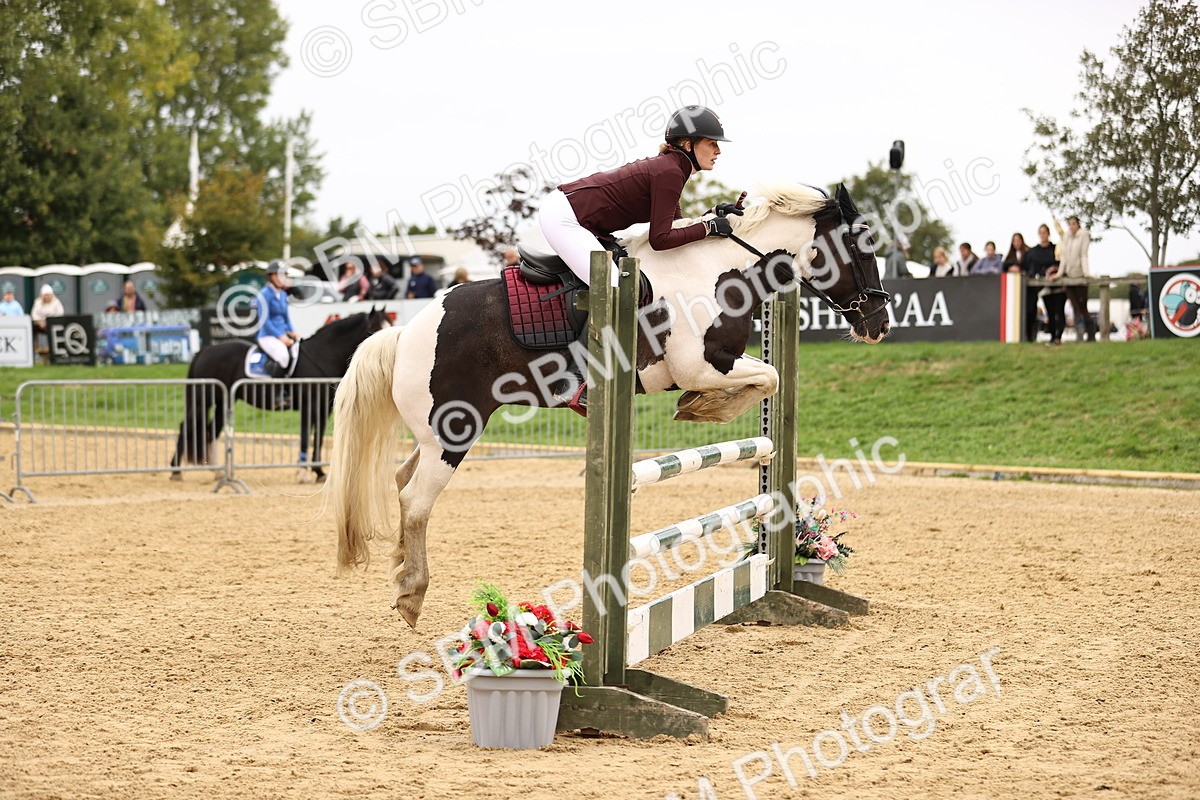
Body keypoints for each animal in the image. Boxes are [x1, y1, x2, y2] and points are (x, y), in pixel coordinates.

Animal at [170, 307, 391, 483]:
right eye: (374, 329)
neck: (321, 356)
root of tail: (204, 351)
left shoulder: (323, 408)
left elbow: (318, 437)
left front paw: (318, 472)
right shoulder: (309, 406)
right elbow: (306, 436)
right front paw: (304, 472)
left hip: (223, 401)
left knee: (211, 430)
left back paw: (217, 472)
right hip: (203, 398)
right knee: (186, 426)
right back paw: (175, 470)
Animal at [328, 183, 890, 627]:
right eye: (863, 249)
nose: (880, 324)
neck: (717, 269)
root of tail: (404, 332)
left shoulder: (721, 361)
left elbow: (767, 380)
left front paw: (700, 407)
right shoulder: (701, 363)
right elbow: (766, 377)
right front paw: (701, 407)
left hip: (436, 432)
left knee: (402, 479)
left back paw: (399, 569)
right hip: (455, 430)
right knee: (415, 500)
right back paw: (411, 594)